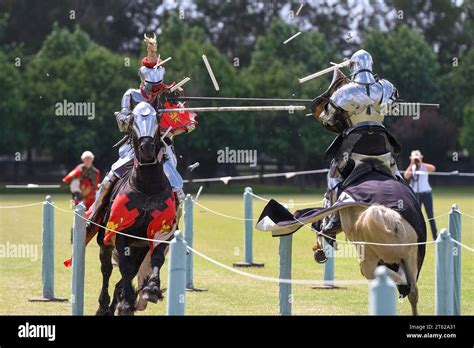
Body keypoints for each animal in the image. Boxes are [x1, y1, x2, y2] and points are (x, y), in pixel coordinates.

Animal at [95, 102, 177, 316]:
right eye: (133, 121)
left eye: (157, 118)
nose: (146, 147)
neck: (147, 187)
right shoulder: (120, 233)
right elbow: (124, 268)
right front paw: (124, 304)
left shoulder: (160, 232)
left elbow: (157, 259)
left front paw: (152, 289)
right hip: (105, 243)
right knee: (107, 269)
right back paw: (105, 306)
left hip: (139, 249)